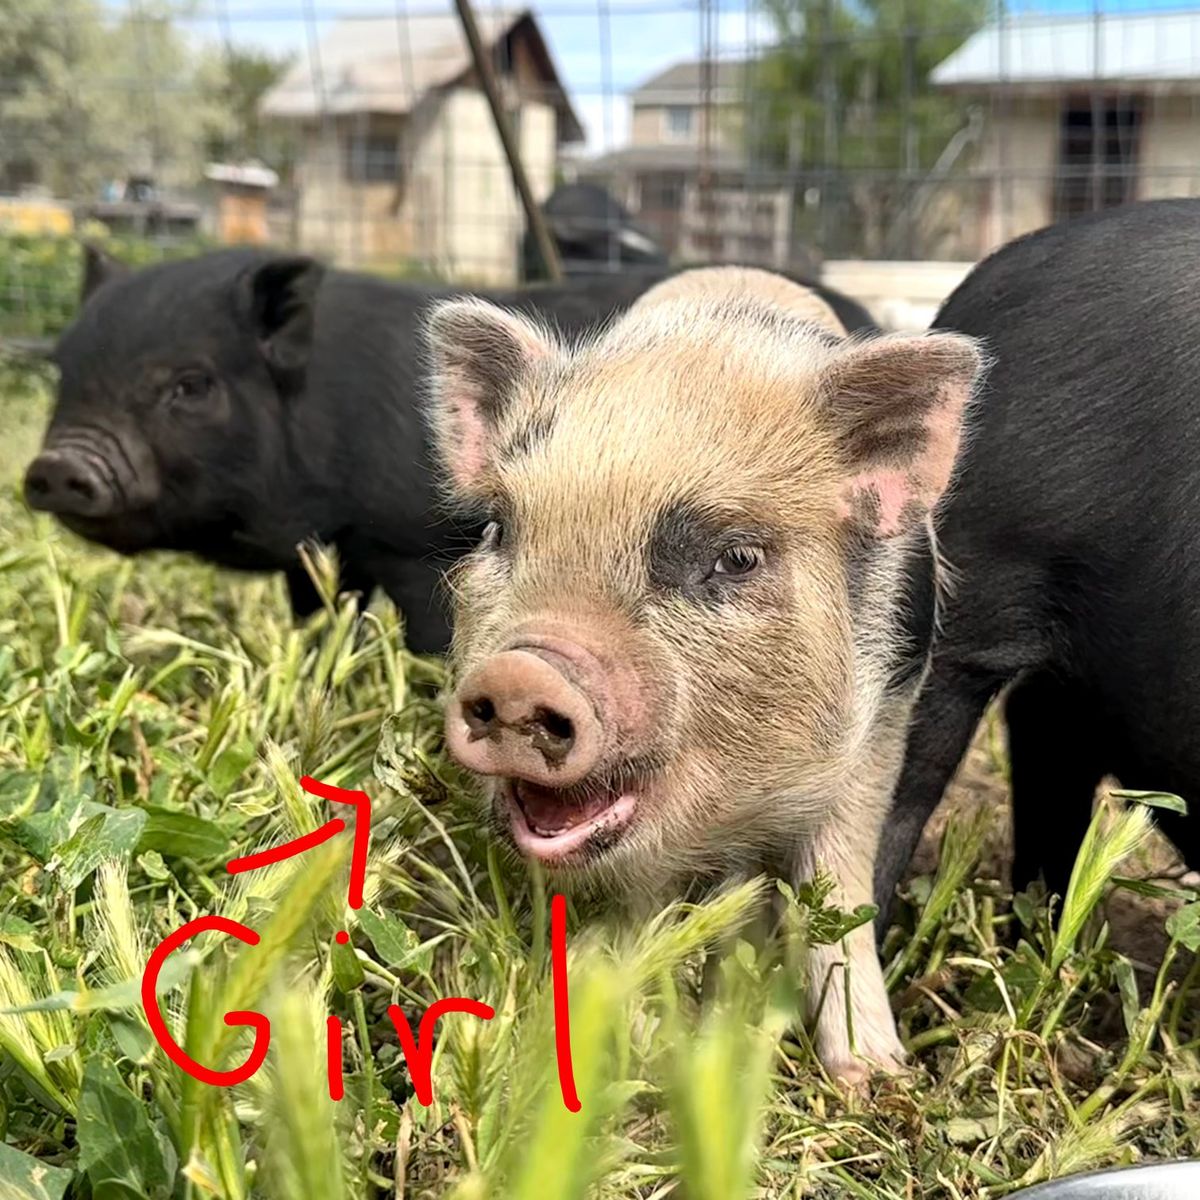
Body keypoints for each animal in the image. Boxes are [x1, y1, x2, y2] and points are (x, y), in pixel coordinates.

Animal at [24, 247, 875, 656]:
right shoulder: (324, 553)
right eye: (64, 369)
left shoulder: (415, 544)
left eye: (191, 384)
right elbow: (318, 616)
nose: (56, 466)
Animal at [426, 264, 985, 1081]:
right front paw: (633, 1028)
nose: (521, 675)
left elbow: (838, 887)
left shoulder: (883, 727)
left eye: (735, 558)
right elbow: (644, 905)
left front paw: (872, 1076)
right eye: (500, 528)